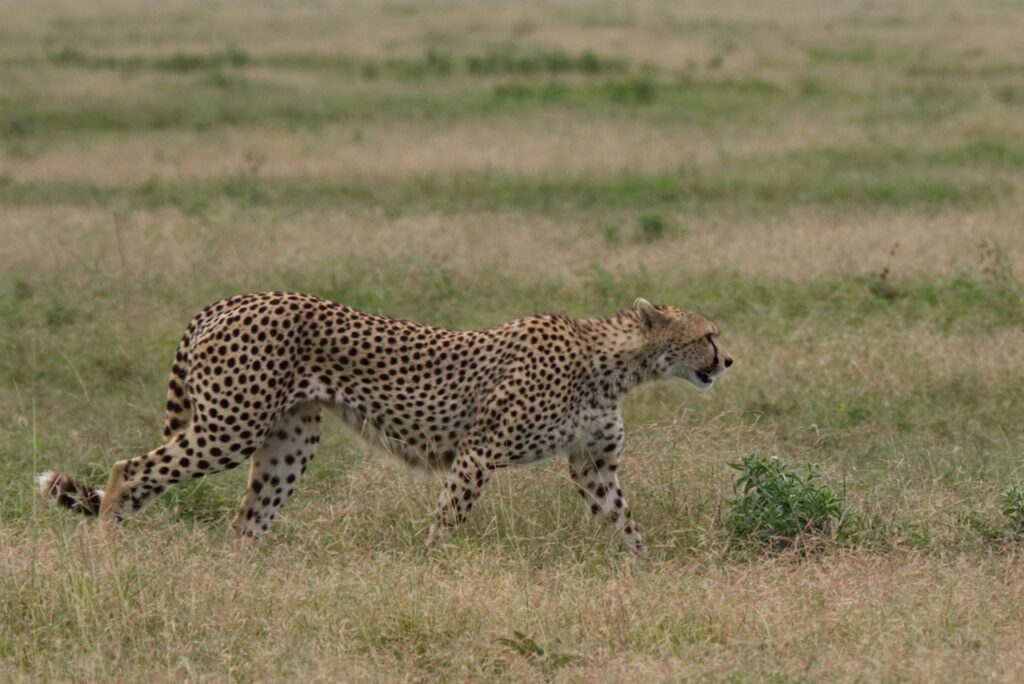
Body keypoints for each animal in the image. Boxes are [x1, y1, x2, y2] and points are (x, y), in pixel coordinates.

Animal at [38, 292, 733, 553]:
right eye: (708, 333)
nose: (727, 360)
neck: (611, 362)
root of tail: (231, 299)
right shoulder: (478, 452)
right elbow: (447, 518)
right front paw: (431, 567)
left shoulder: (593, 466)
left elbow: (625, 522)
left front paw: (645, 572)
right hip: (229, 428)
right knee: (129, 469)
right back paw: (108, 548)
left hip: (290, 439)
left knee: (245, 519)